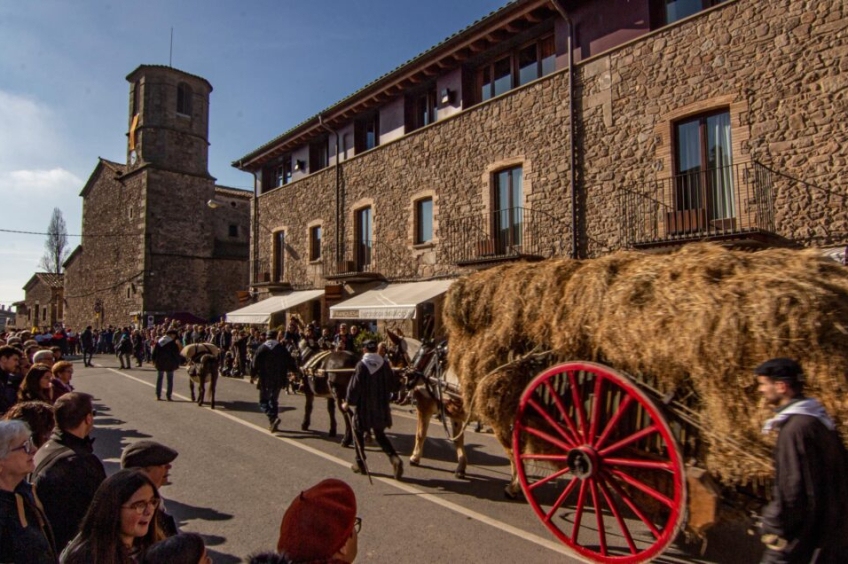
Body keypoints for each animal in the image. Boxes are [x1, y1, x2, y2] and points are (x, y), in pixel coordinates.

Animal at [404, 342, 470, 478]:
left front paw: (415, 457)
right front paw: (461, 466)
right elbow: (458, 440)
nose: (407, 377)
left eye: (417, 357)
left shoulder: (424, 405)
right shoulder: (455, 415)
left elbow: (420, 434)